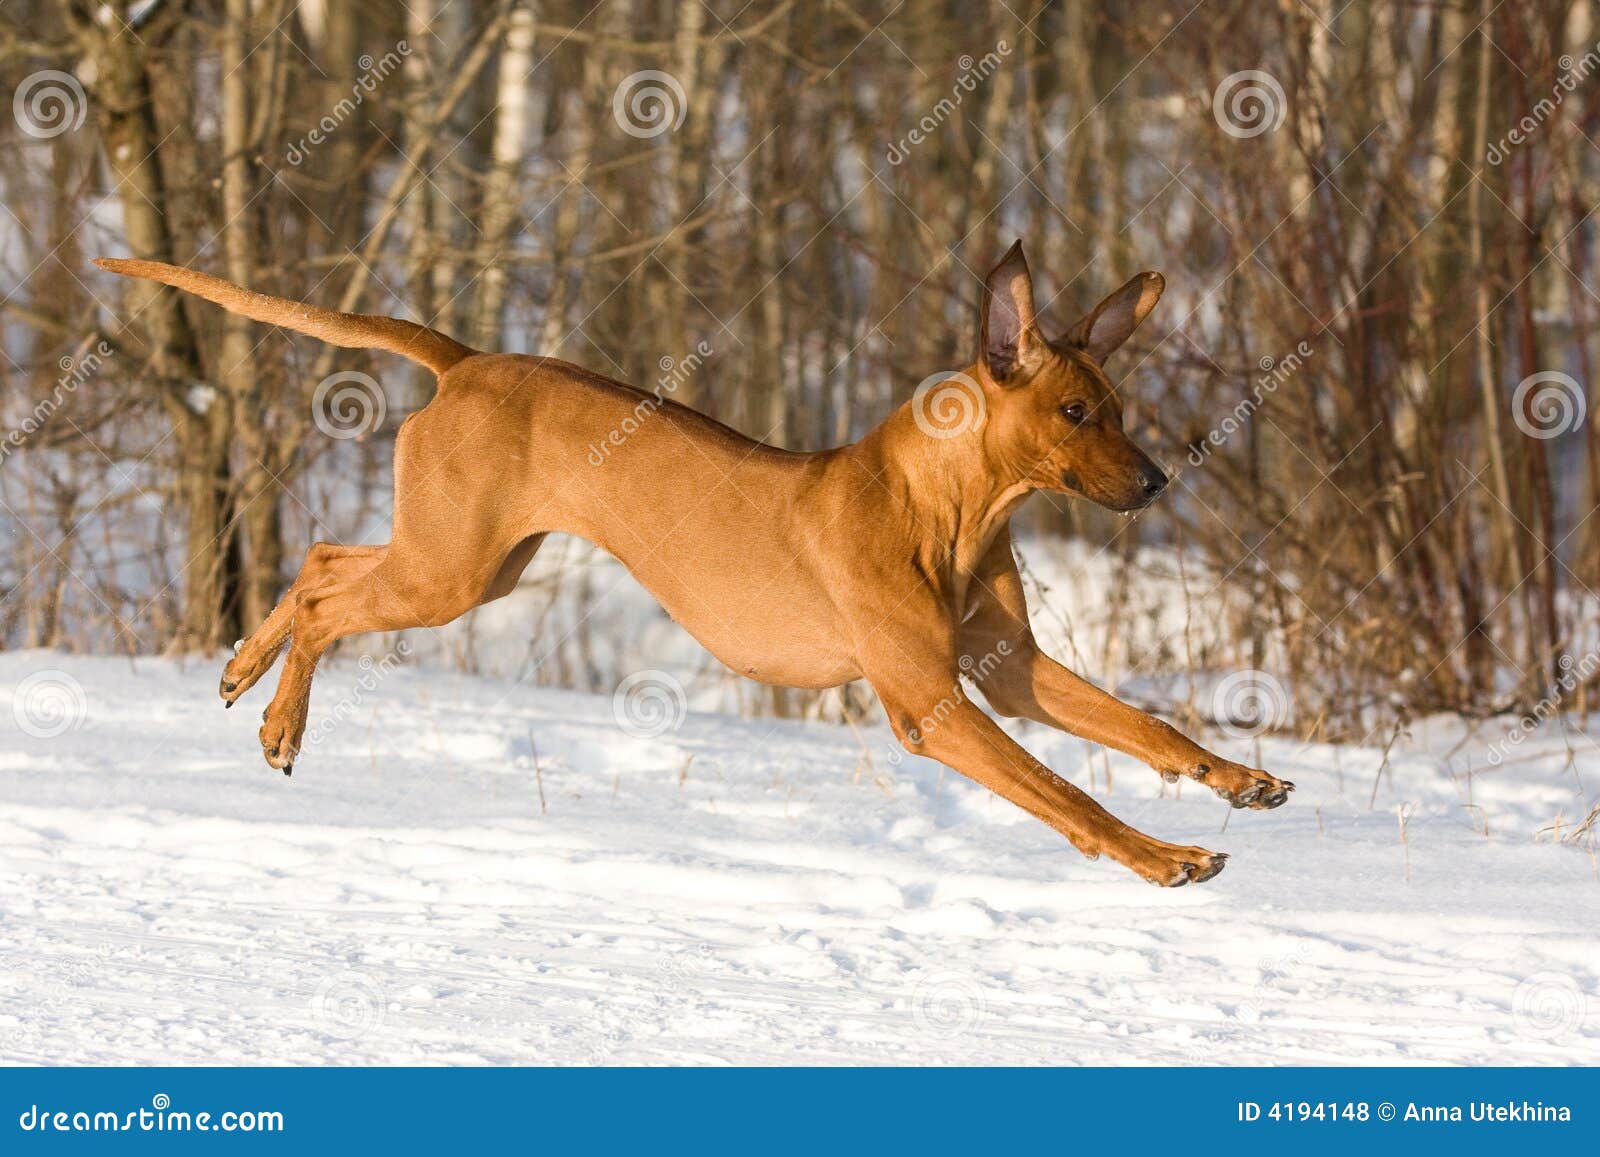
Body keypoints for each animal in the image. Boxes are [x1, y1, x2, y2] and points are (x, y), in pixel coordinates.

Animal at [96, 246, 1286, 889]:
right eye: (1078, 411)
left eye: (1119, 408)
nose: (1157, 481)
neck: (948, 504)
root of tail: (468, 360)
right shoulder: (933, 705)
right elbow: (1063, 792)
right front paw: (1162, 855)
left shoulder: (1010, 671)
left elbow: (1141, 723)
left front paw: (1235, 775)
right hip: (450, 573)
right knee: (328, 596)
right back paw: (279, 718)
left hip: (471, 562)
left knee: (319, 558)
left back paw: (244, 672)